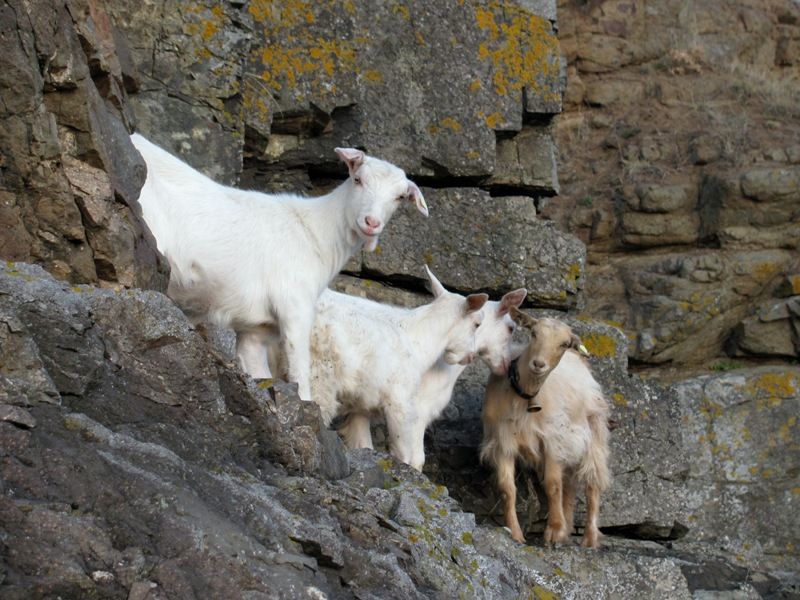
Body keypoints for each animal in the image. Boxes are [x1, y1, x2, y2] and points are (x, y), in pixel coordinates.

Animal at [130, 134, 428, 401]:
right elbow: (300, 373)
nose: (371, 222)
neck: (316, 233)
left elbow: (259, 371)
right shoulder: (295, 307)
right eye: (358, 179)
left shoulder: (257, 330)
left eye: (399, 197)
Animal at [285, 266, 488, 470]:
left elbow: (363, 443)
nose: (470, 356)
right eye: (477, 324)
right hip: (318, 373)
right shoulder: (400, 401)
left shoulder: (360, 404)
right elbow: (404, 451)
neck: (418, 340)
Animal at [337, 287, 528, 469]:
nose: (507, 365)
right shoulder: (416, 409)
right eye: (511, 328)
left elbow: (362, 444)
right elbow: (415, 458)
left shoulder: (361, 406)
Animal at [481, 308, 610, 548]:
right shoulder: (503, 442)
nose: (538, 364)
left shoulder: (553, 439)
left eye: (564, 343)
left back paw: (589, 538)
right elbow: (507, 489)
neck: (524, 398)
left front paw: (554, 531)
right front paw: (516, 534)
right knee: (569, 486)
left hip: (593, 432)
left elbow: (552, 485)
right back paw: (568, 528)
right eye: (534, 333)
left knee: (592, 484)